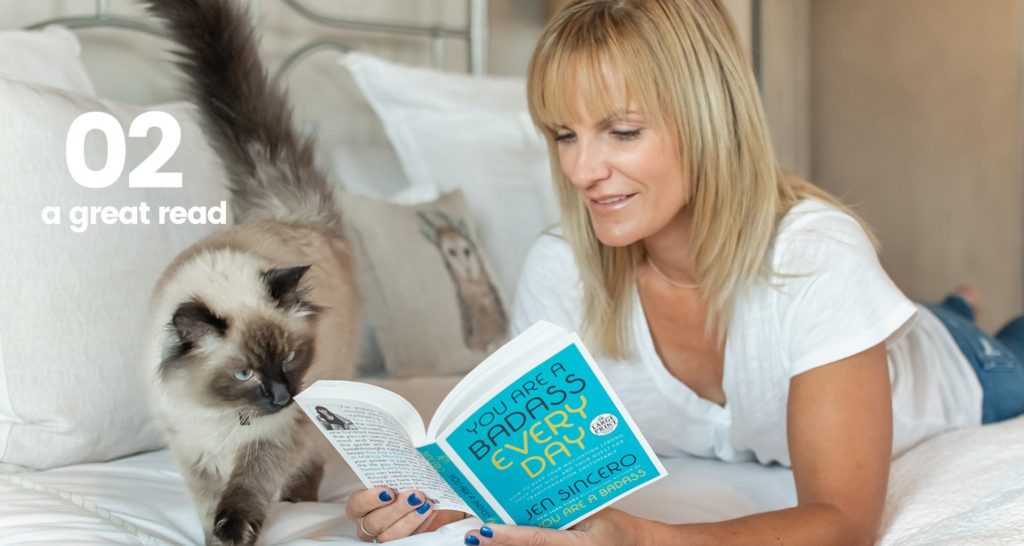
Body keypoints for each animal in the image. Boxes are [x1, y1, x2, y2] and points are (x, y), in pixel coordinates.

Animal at [138, 2, 358, 540]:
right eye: (243, 373)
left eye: (292, 358)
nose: (281, 396)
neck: (223, 416)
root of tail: (290, 211)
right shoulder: (193, 452)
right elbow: (207, 502)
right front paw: (211, 538)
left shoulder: (277, 437)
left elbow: (245, 489)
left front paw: (235, 530)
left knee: (311, 463)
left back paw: (301, 501)